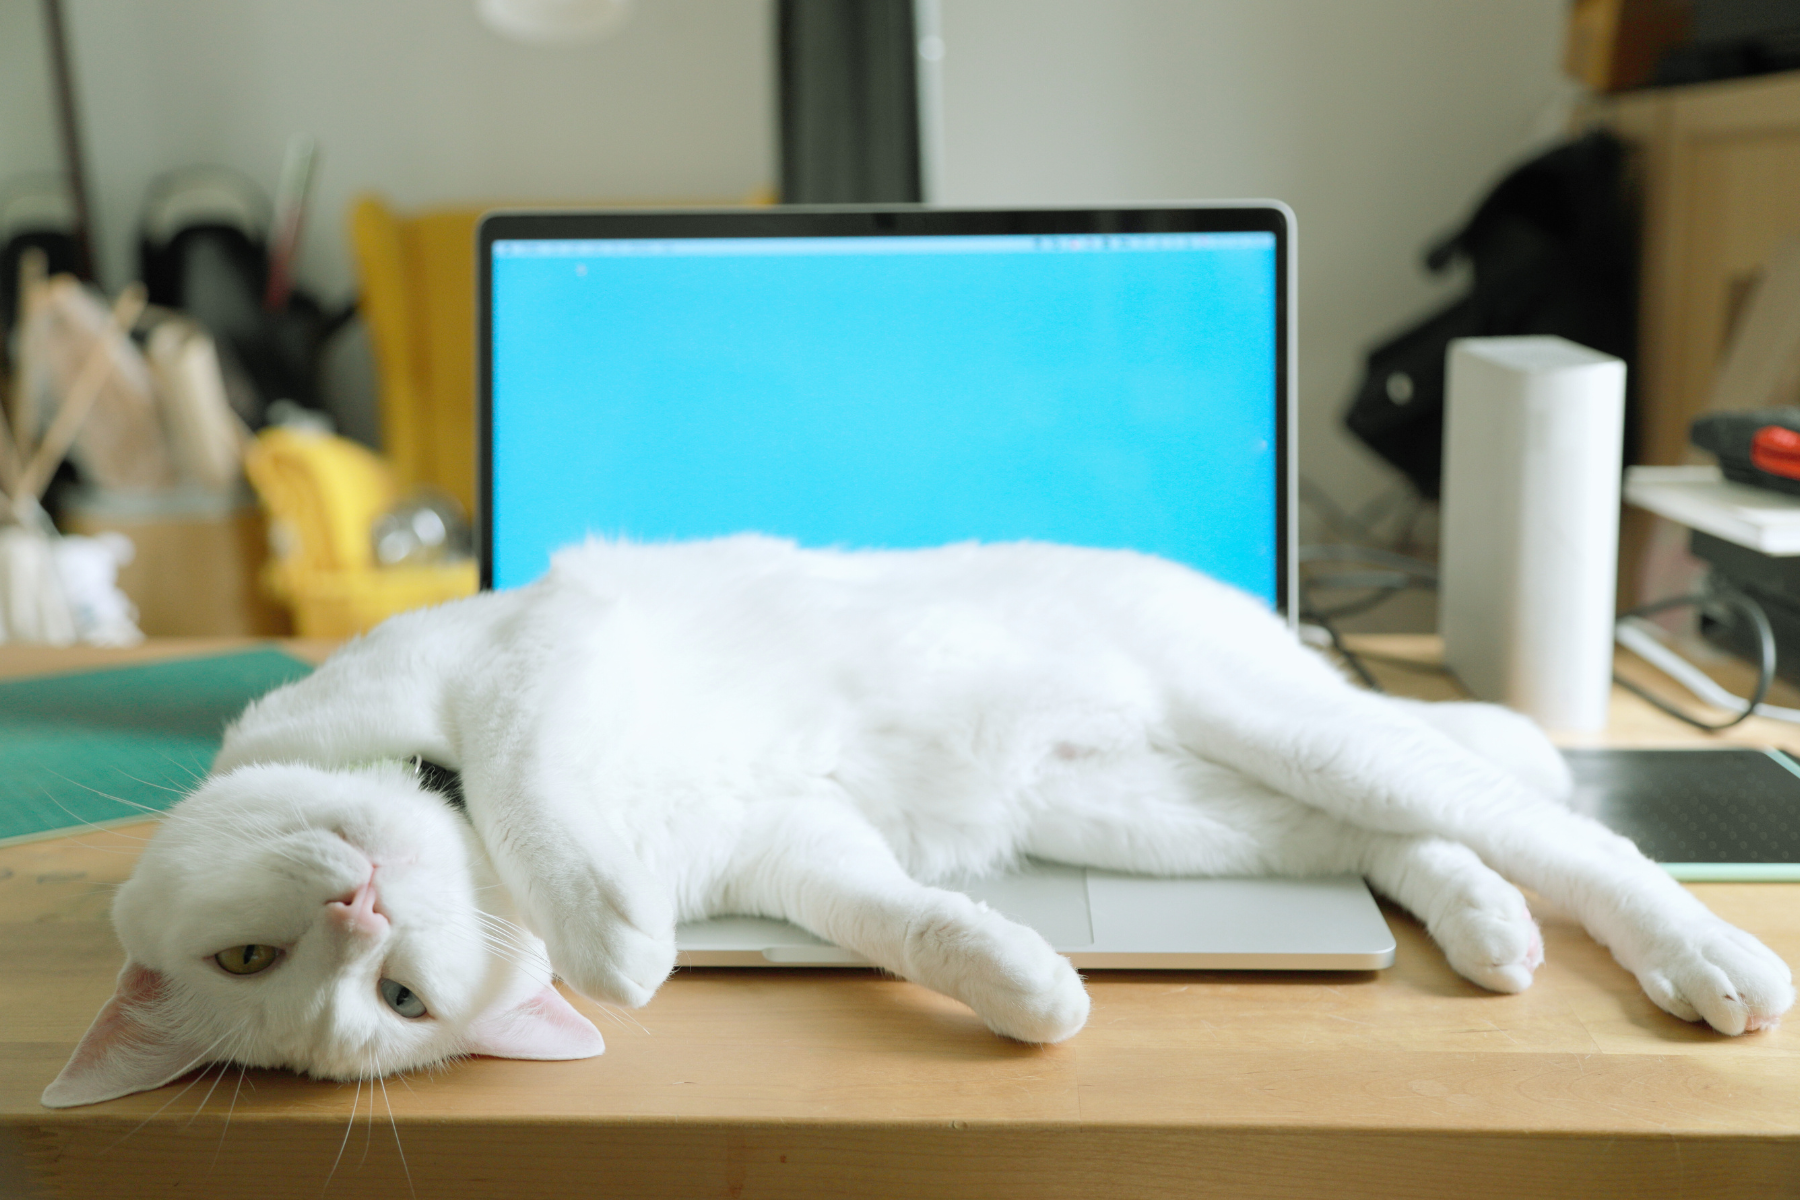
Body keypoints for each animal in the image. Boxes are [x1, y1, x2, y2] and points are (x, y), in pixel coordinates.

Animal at [42, 536, 1800, 1108]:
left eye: (385, 991)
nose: (362, 916)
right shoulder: (797, 850)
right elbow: (901, 921)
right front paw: (1026, 987)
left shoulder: (545, 650)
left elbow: (536, 784)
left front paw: (619, 947)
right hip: (1181, 813)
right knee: (1404, 849)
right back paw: (1488, 931)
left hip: (1284, 729)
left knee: (1573, 843)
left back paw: (1707, 962)